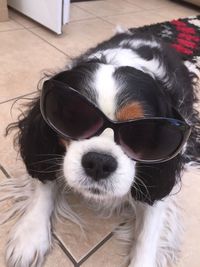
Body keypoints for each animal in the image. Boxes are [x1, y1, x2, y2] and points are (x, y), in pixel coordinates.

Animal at [1, 29, 200, 267]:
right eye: (73, 115)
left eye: (141, 133)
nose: (99, 162)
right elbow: (44, 185)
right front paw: (30, 236)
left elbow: (148, 234)